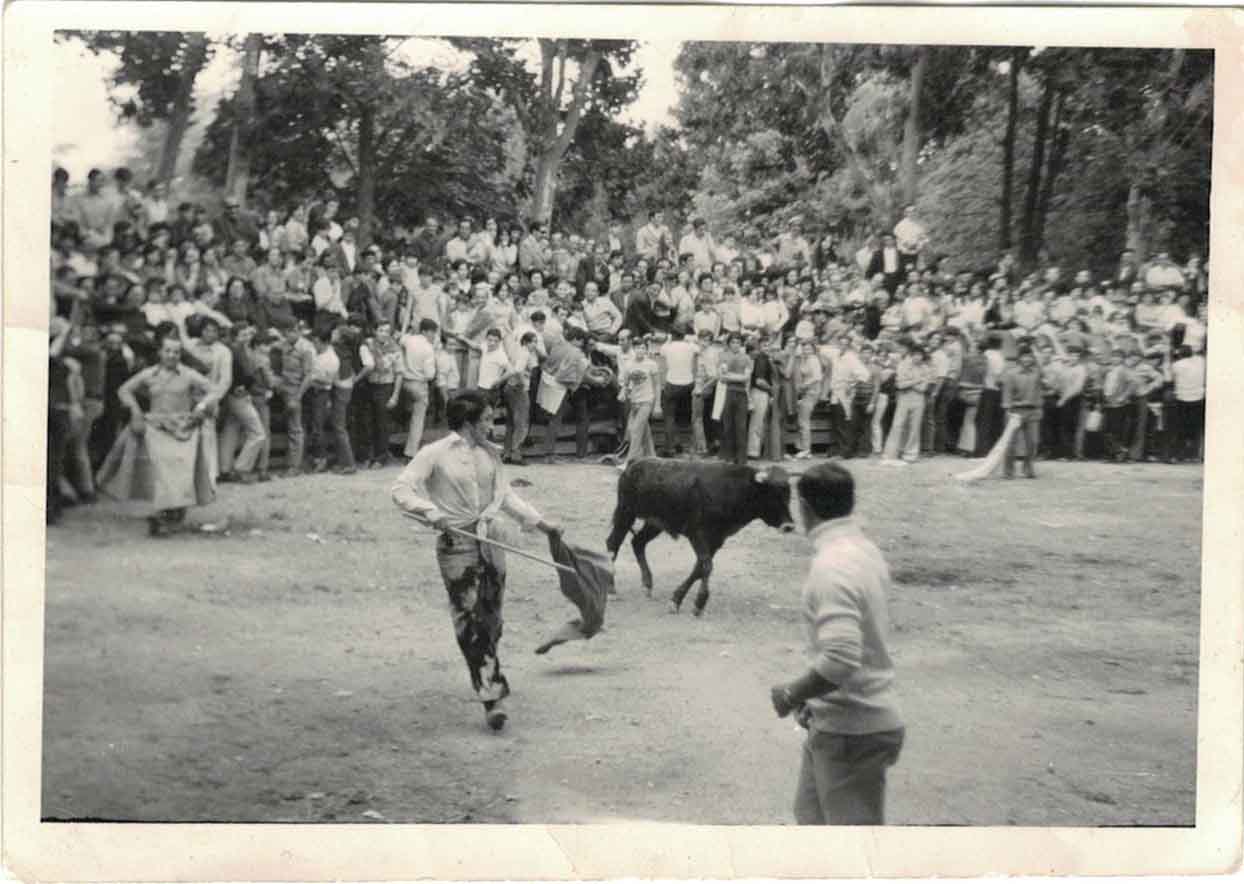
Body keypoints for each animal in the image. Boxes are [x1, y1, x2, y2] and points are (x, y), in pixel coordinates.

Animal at [604, 460, 796, 619]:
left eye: (788, 495)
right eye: (773, 495)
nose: (789, 526)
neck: (733, 489)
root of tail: (634, 463)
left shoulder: (717, 540)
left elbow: (698, 569)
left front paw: (677, 600)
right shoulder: (698, 534)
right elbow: (706, 566)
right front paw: (699, 603)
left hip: (655, 523)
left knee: (638, 542)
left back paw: (647, 585)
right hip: (625, 513)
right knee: (613, 544)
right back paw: (612, 590)